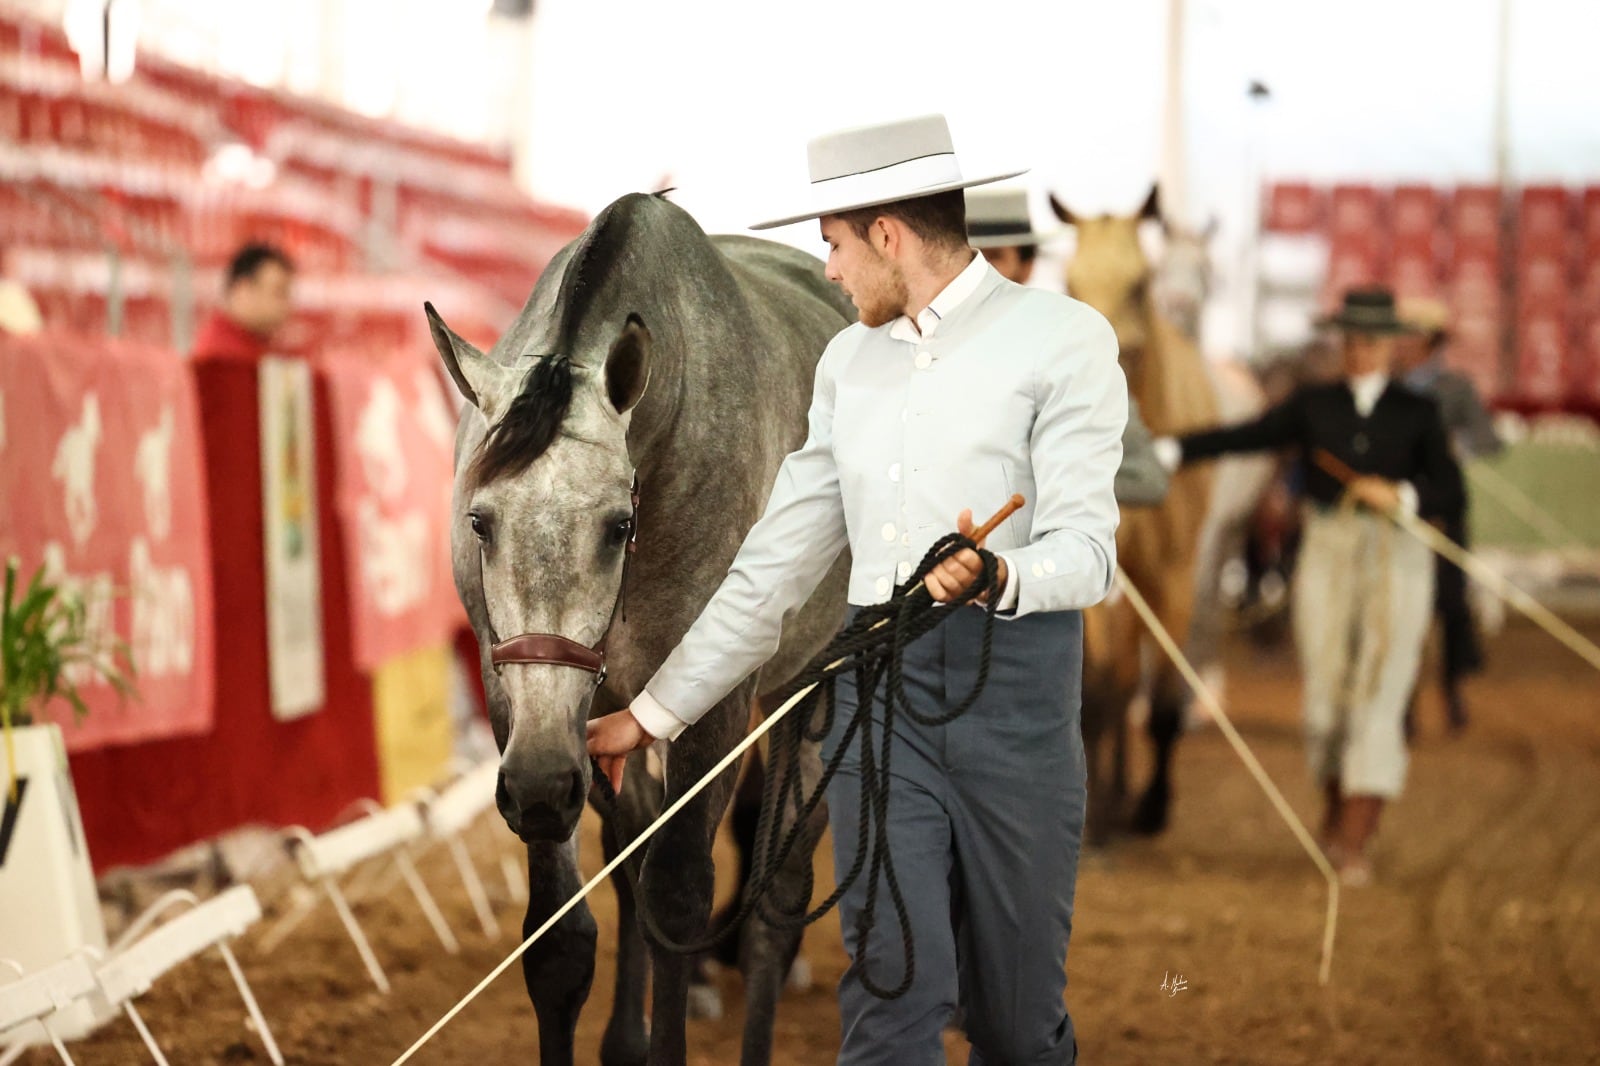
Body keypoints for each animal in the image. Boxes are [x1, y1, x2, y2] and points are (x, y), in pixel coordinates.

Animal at [422, 192, 851, 1062]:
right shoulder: (532, 712)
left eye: (619, 525)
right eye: (480, 521)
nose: (540, 784)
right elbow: (563, 943)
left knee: (778, 894)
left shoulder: (715, 707)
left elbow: (678, 901)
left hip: (807, 682)